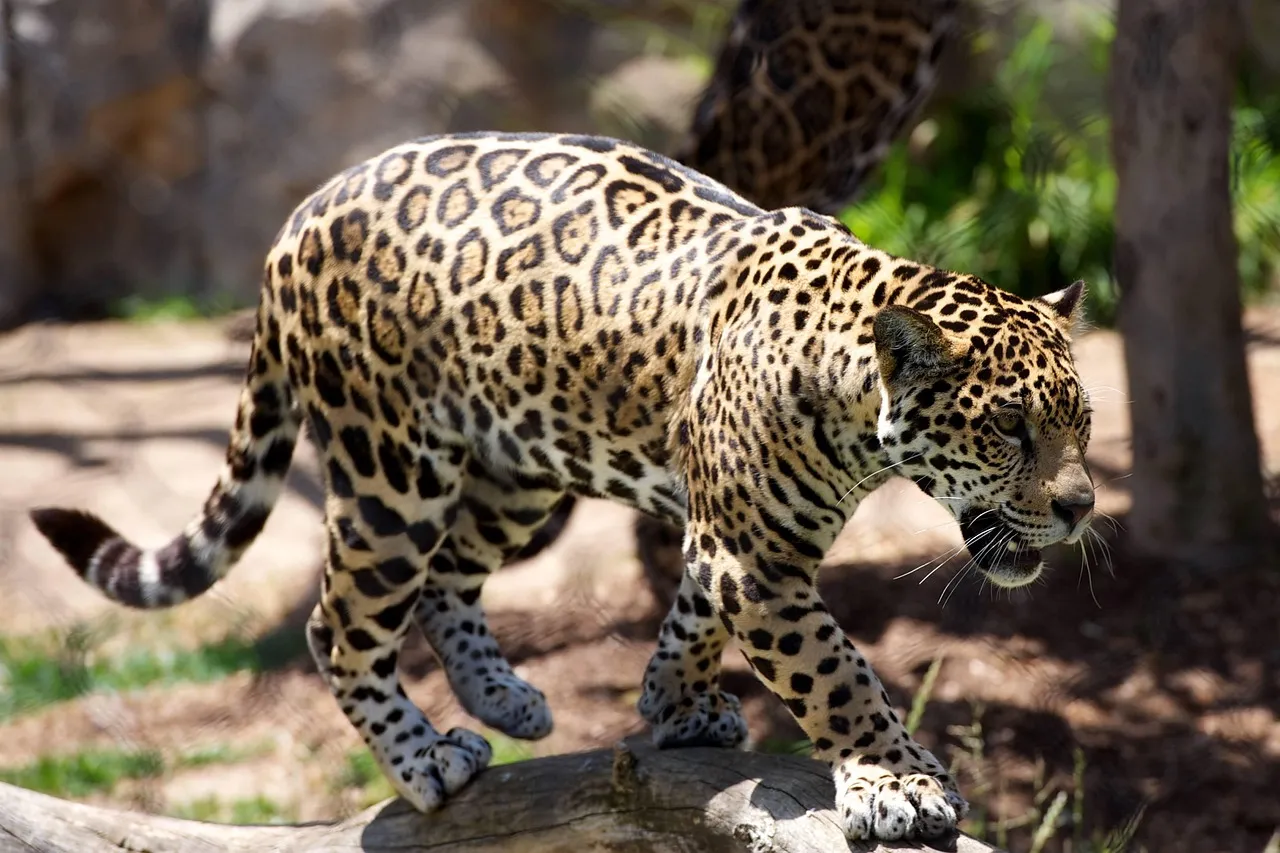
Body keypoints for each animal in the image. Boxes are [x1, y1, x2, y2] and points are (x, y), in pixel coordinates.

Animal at [30, 130, 1096, 843]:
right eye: (1010, 428)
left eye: (1082, 424)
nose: (1082, 505)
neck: (852, 390)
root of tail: (298, 218)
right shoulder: (755, 557)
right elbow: (836, 673)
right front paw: (895, 778)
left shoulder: (724, 538)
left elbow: (691, 613)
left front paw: (674, 701)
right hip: (392, 472)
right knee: (340, 621)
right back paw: (426, 755)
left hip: (517, 468)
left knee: (447, 579)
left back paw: (506, 701)